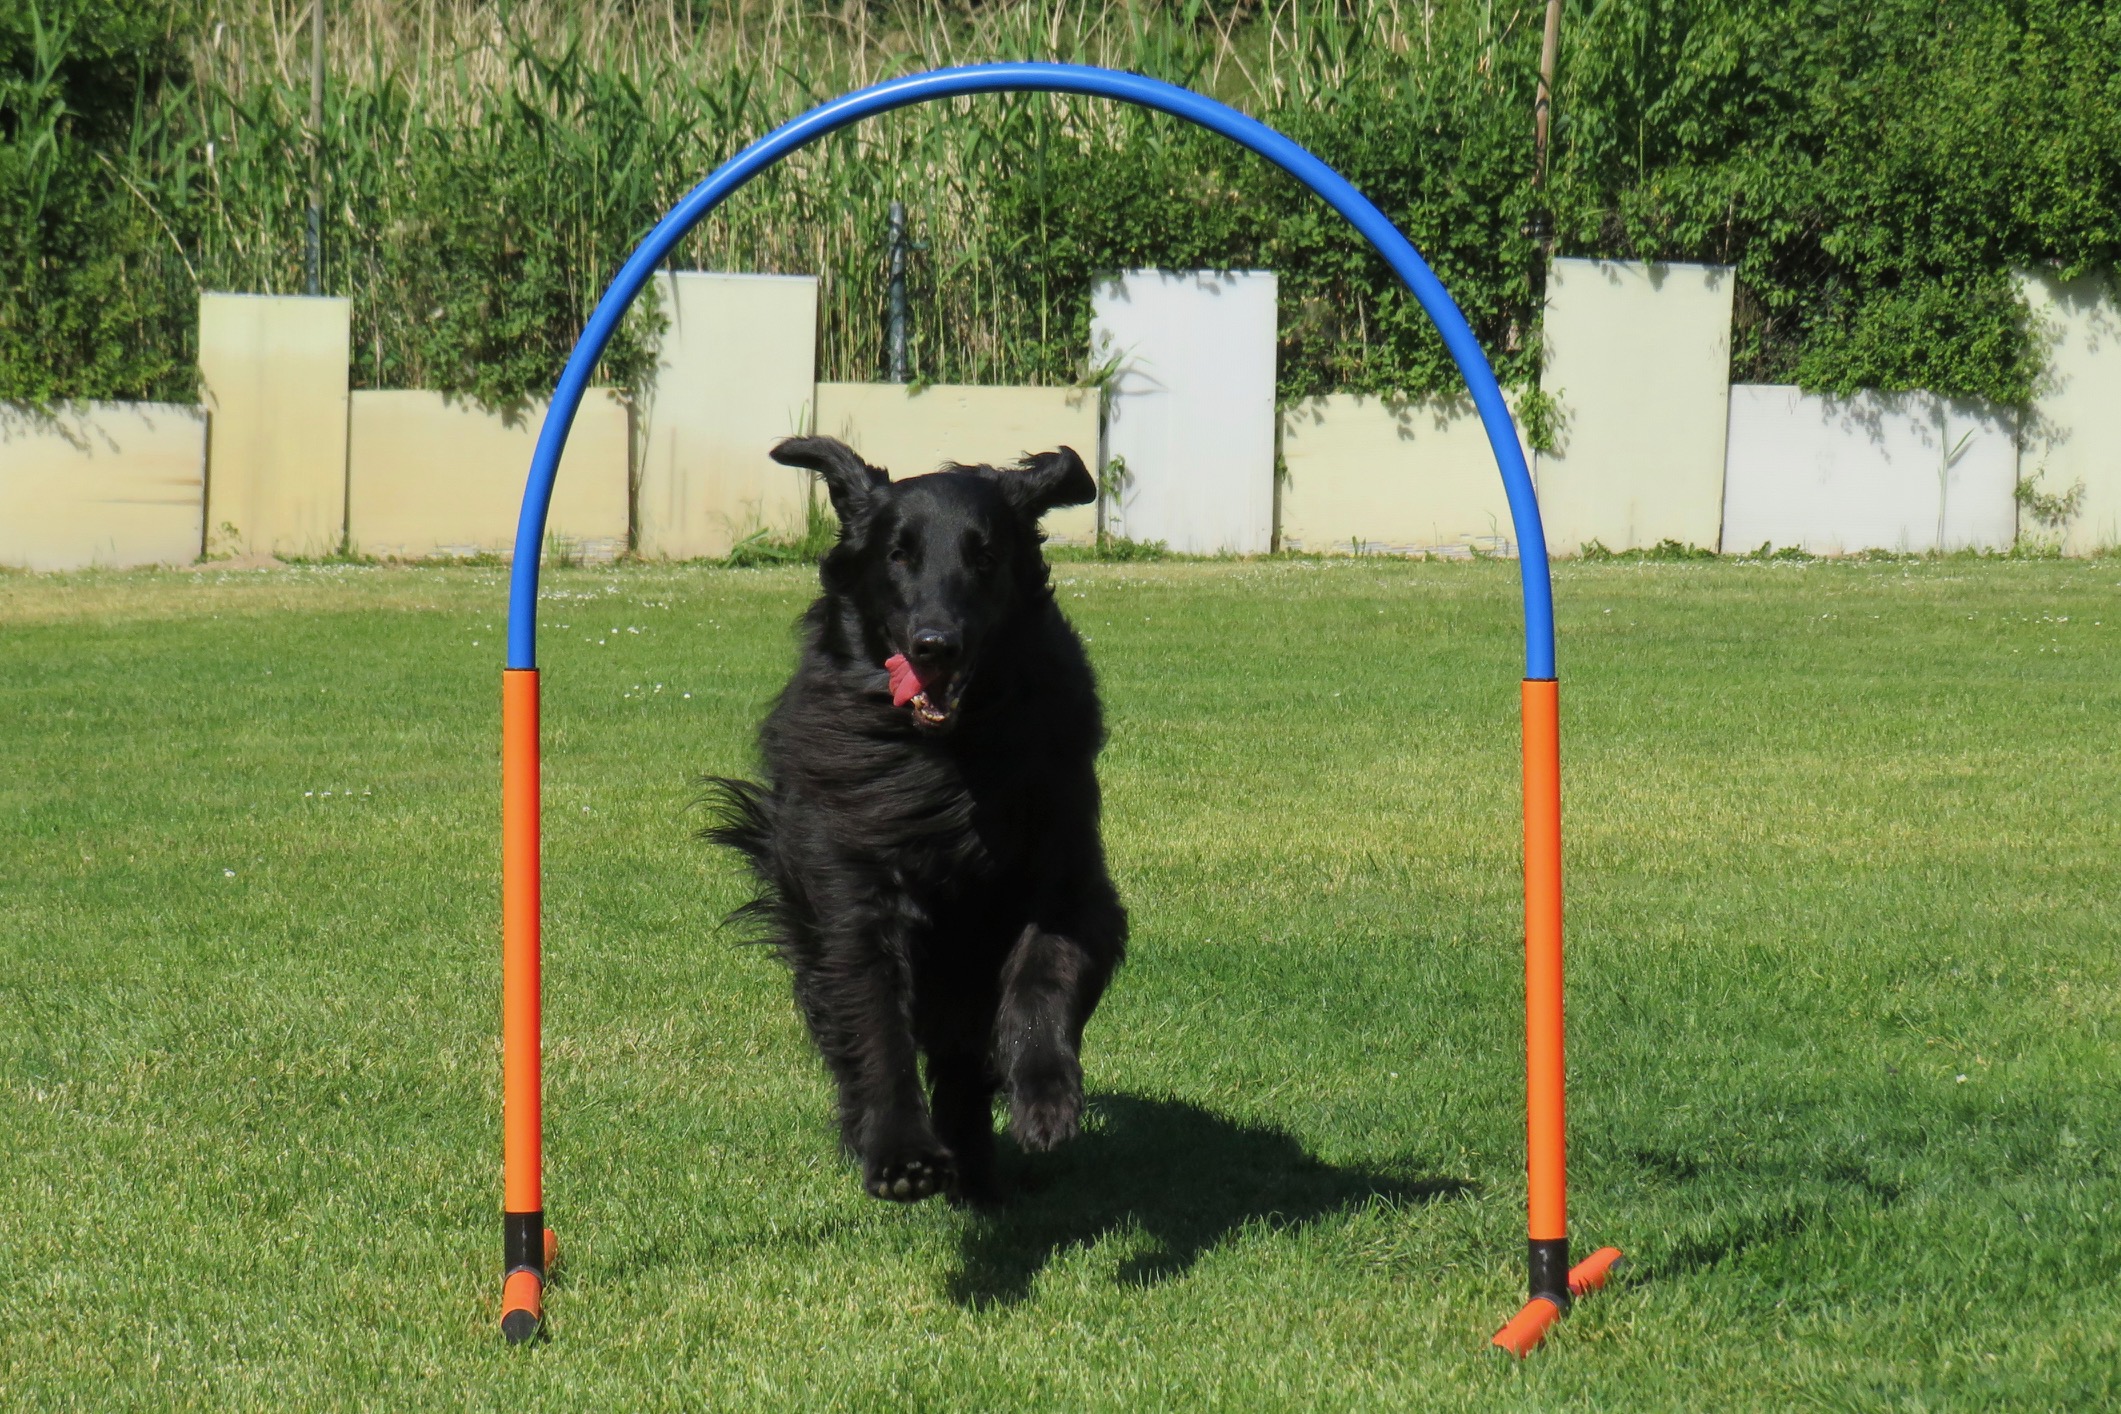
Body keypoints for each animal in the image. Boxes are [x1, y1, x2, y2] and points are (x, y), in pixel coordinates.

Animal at [707, 435, 1128, 1205]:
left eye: (984, 556)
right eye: (898, 554)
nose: (936, 644)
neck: (944, 759)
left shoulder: (1068, 881)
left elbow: (1040, 978)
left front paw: (1045, 1098)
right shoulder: (853, 895)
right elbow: (874, 1021)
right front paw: (900, 1151)